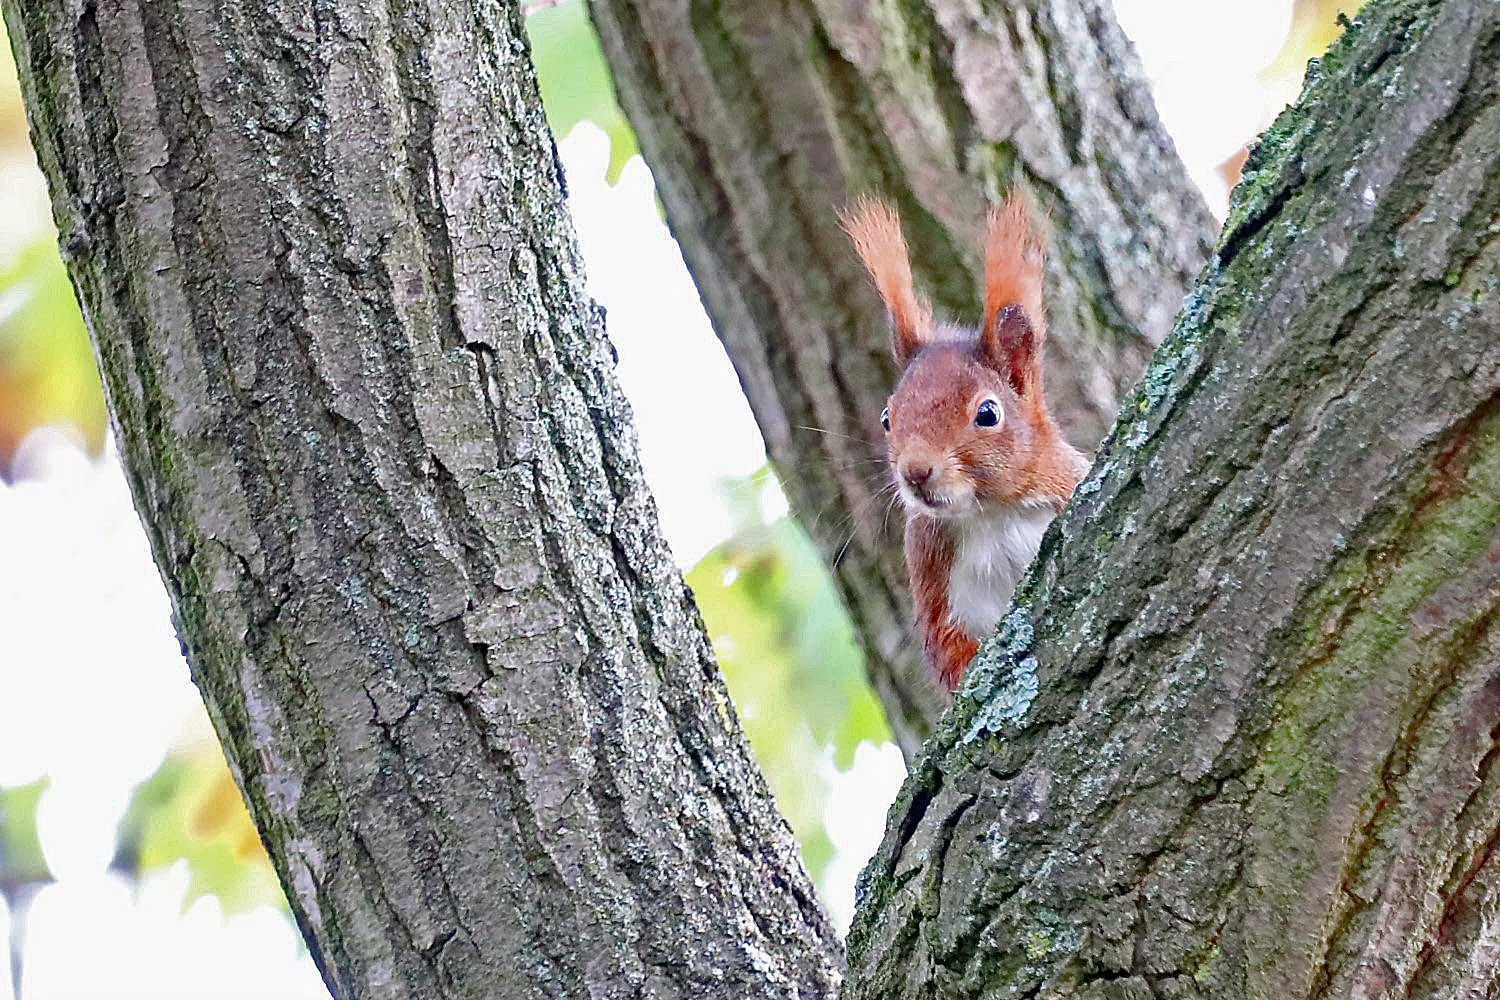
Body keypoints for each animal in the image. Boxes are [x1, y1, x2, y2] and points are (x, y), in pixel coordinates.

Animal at [840, 197, 1086, 692]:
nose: (916, 472)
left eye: (987, 413)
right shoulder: (933, 575)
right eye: (887, 418)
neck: (991, 515)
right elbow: (950, 649)